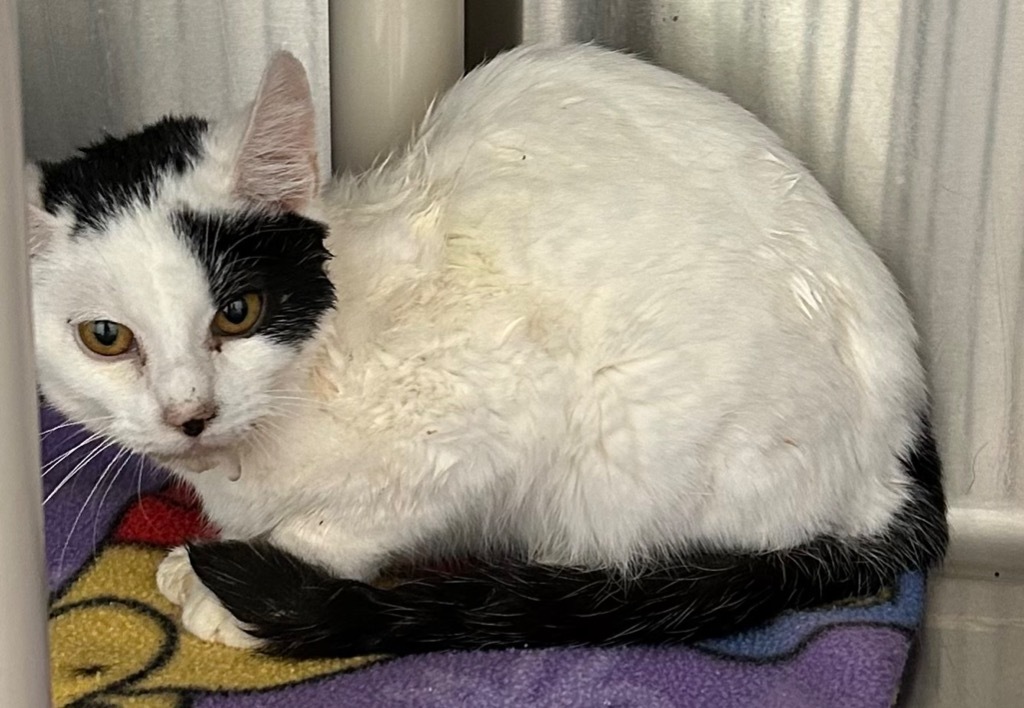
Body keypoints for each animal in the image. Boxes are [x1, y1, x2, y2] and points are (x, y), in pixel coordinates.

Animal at [28, 45, 946, 659]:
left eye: (238, 313)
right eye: (106, 338)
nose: (189, 413)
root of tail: (890, 462)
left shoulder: (484, 417)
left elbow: (346, 523)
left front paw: (242, 580)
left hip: (624, 447)